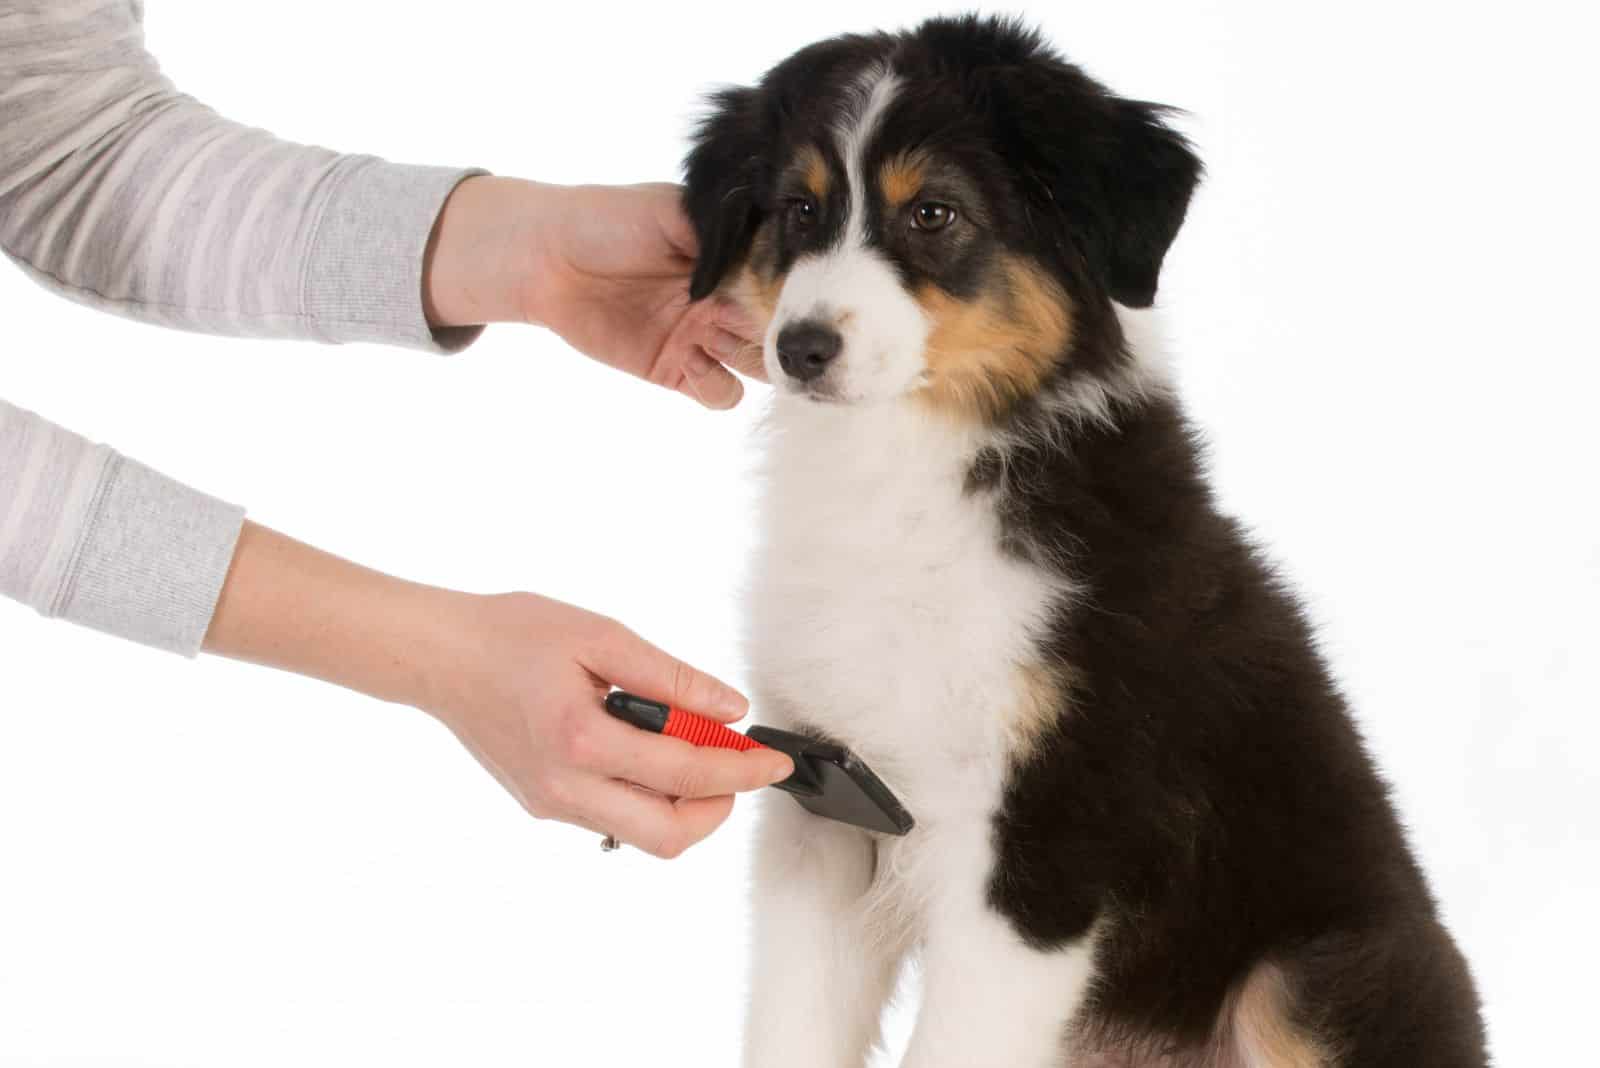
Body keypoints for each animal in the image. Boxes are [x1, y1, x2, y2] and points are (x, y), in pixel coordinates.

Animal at [681, 16, 1491, 1068]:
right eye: (798, 208)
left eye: (934, 213)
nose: (802, 348)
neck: (910, 467)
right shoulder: (820, 807)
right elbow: (791, 1026)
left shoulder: (1050, 834)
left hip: (1311, 977)